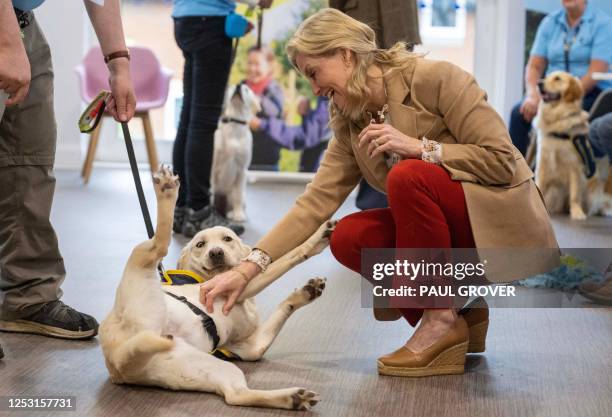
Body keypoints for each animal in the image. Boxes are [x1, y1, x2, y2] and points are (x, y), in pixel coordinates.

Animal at [532, 70, 608, 221]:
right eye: (546, 77)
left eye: (557, 79)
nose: (539, 83)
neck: (557, 120)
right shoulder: (543, 162)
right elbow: (540, 185)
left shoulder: (574, 166)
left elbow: (574, 194)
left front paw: (577, 212)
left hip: (593, 187)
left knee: (596, 202)